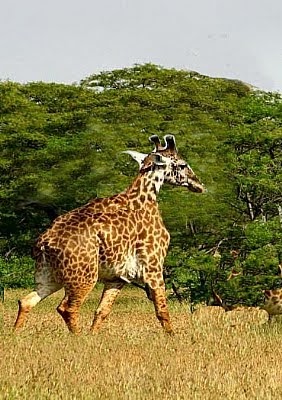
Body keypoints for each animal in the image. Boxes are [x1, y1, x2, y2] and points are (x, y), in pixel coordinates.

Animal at [14, 134, 205, 334]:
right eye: (182, 164)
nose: (199, 184)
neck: (146, 198)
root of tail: (43, 243)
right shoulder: (153, 266)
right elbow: (162, 310)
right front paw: (172, 336)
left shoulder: (117, 277)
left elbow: (102, 311)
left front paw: (94, 335)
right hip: (84, 276)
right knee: (67, 307)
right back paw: (78, 336)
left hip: (48, 275)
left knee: (26, 301)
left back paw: (15, 334)